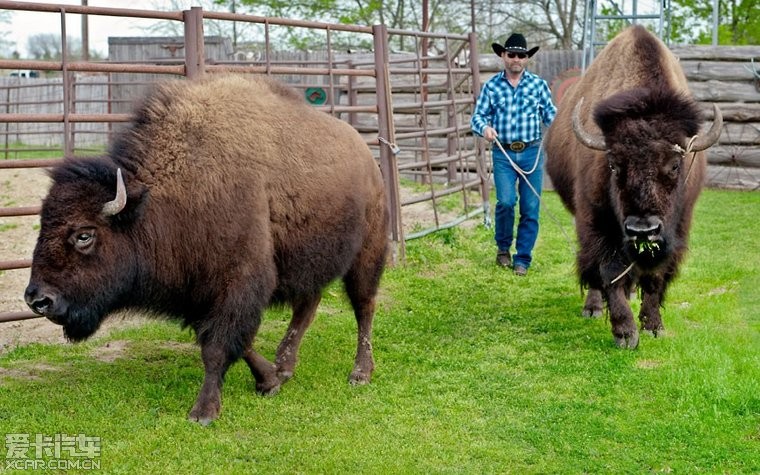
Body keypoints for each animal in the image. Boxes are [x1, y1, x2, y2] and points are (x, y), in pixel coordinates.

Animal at [23, 74, 388, 424]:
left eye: (84, 235)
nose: (37, 299)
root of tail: (367, 155)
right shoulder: (200, 291)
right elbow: (234, 341)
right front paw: (269, 381)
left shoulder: (237, 284)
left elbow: (217, 347)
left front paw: (203, 412)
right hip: (309, 263)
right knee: (307, 307)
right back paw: (285, 365)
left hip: (367, 254)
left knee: (364, 307)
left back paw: (360, 373)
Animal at [544, 26, 720, 350]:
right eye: (613, 164)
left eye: (675, 164)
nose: (642, 230)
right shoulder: (598, 224)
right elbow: (609, 272)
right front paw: (625, 333)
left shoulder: (677, 227)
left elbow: (655, 277)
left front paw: (653, 326)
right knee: (593, 271)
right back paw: (593, 308)